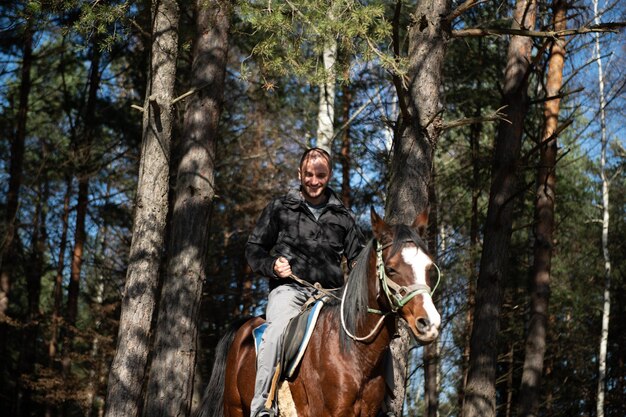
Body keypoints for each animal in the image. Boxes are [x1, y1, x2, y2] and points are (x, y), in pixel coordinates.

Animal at [194, 210, 438, 416]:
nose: (429, 323)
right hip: (234, 407)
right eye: (391, 268)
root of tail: (245, 326)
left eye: (429, 268)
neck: (353, 351)